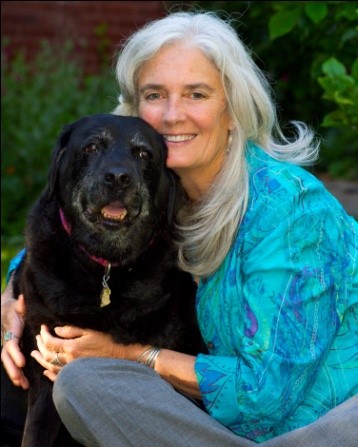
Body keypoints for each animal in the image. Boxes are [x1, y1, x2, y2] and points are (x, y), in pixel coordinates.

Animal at [11, 114, 206, 447]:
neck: (107, 266)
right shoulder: (43, 364)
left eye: (143, 153)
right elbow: (36, 431)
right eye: (91, 147)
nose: (117, 177)